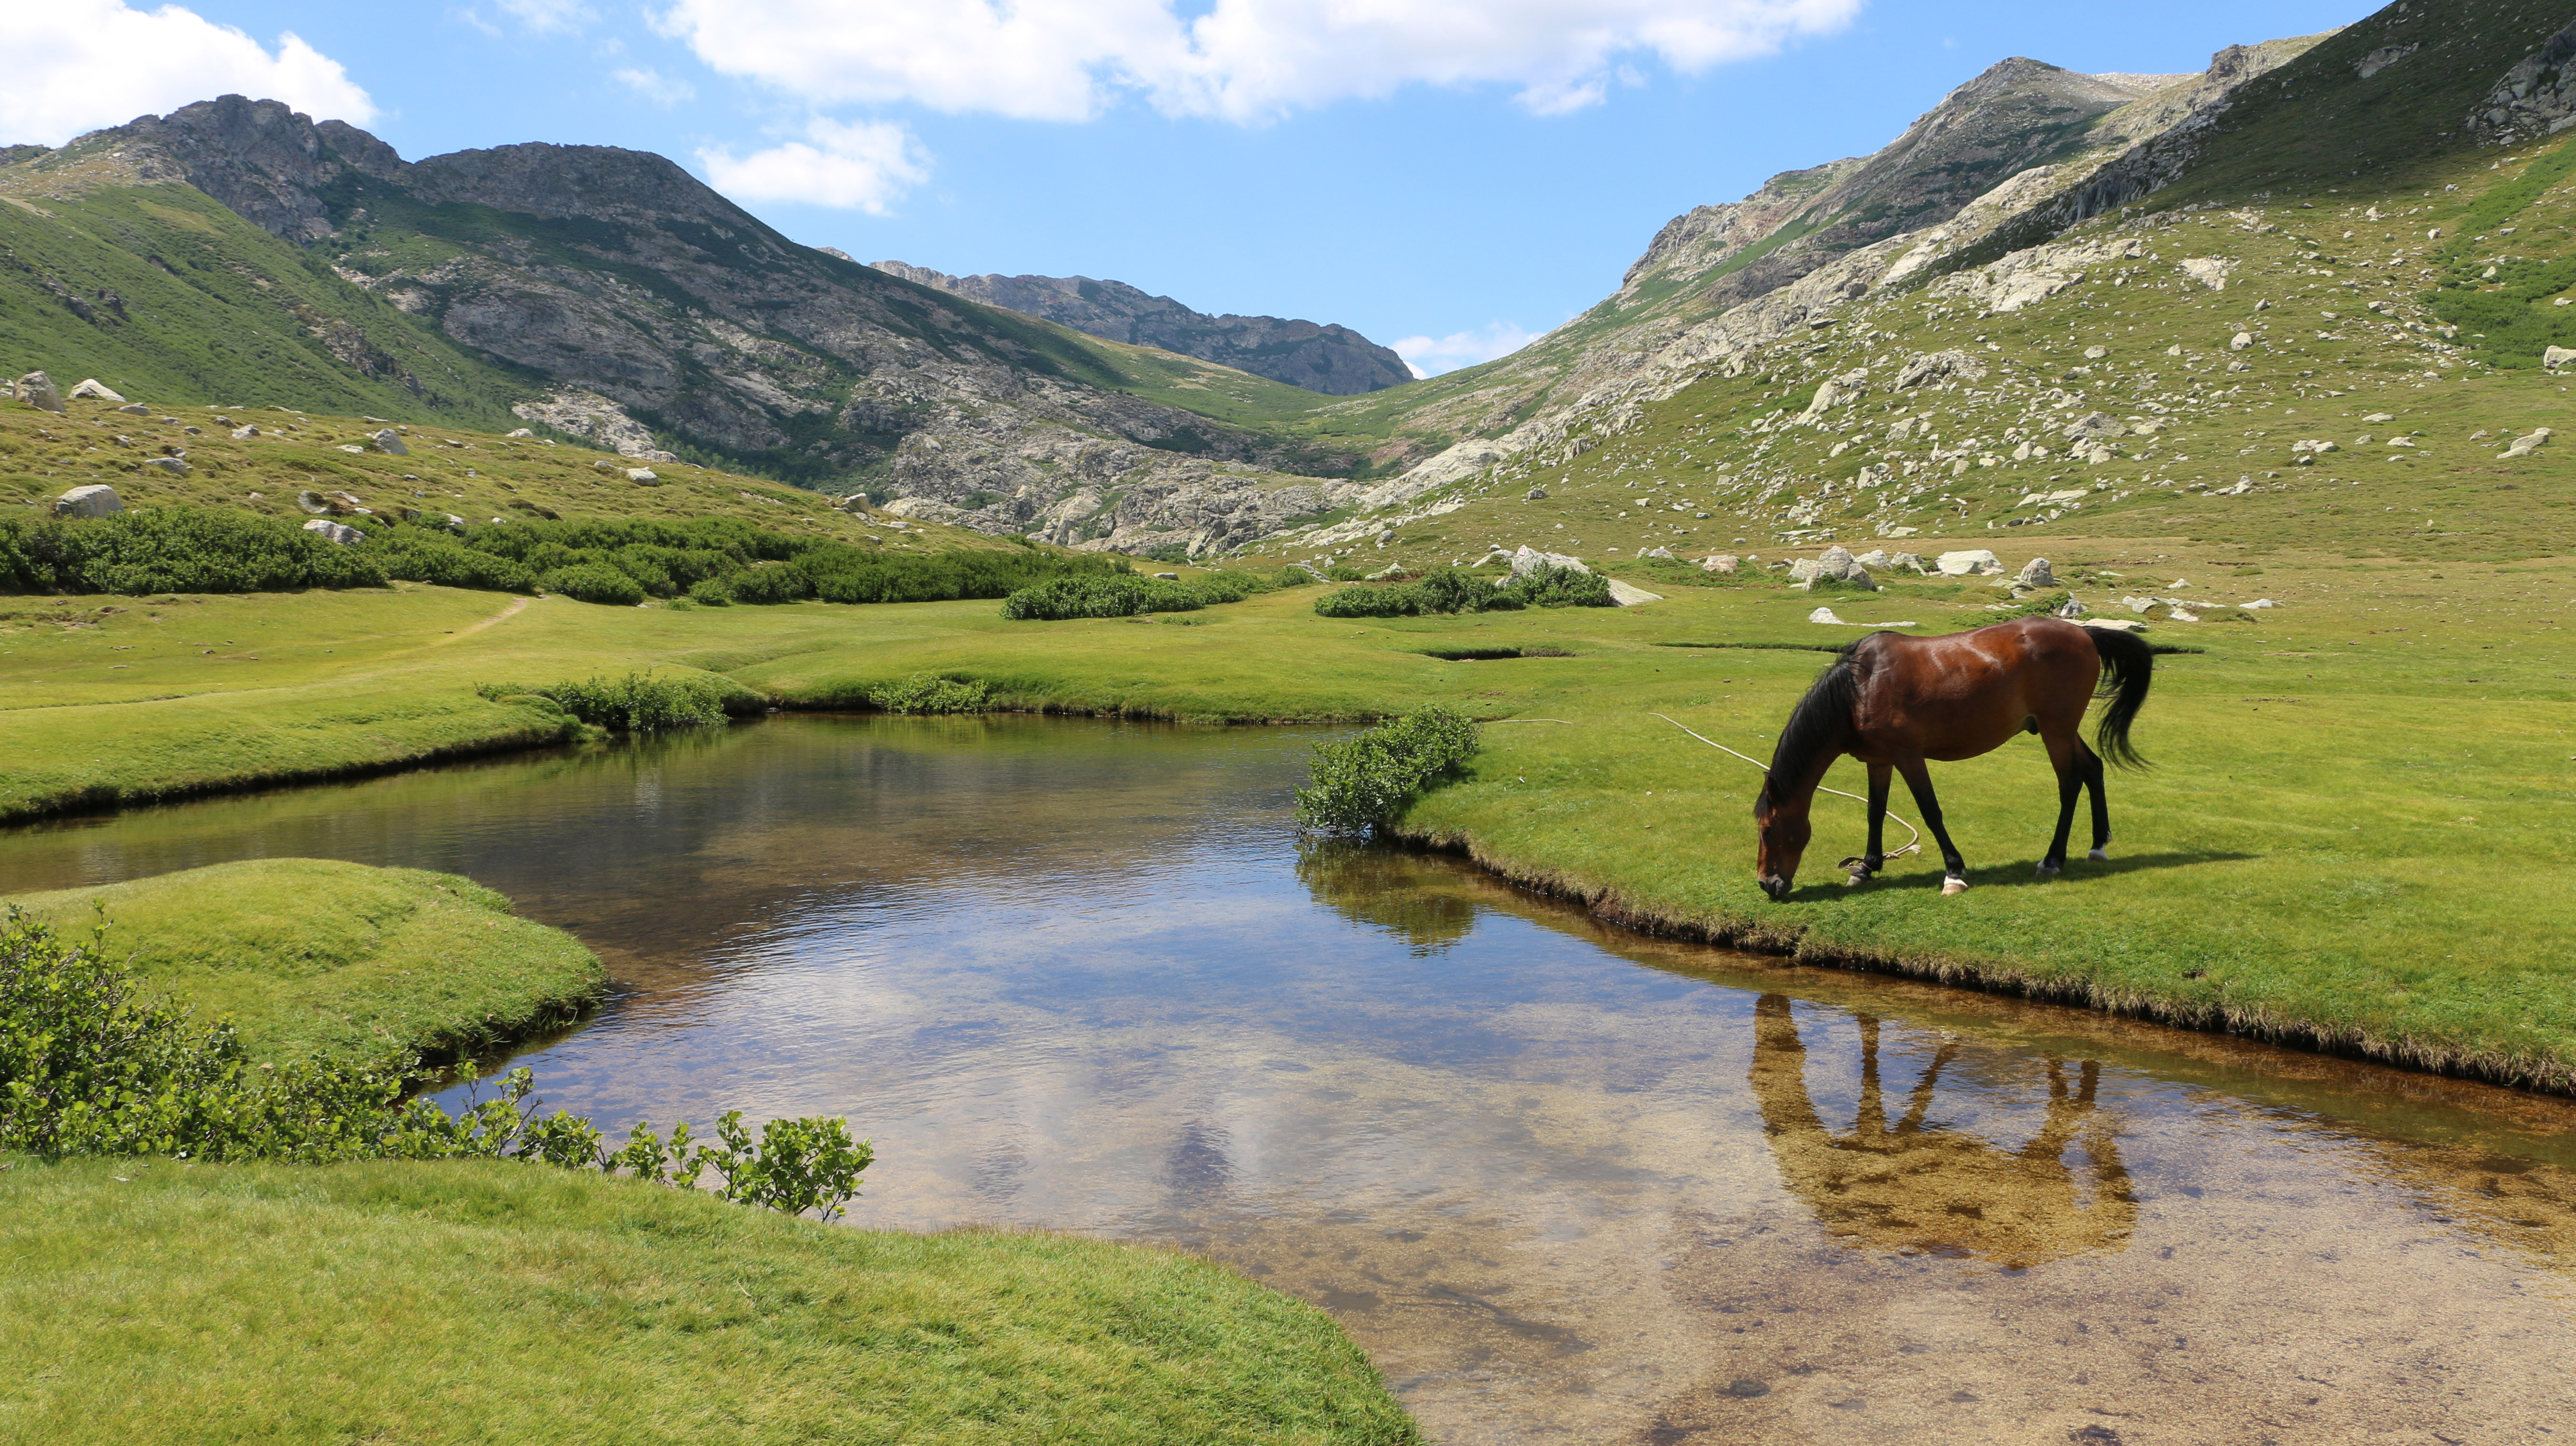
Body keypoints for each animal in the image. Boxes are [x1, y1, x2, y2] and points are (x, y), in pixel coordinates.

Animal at [1753, 616, 2154, 899]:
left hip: (2056, 731)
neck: (1859, 688)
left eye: (1768, 830)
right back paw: (2098, 845)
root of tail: (2083, 634)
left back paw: (2053, 859)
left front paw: (1954, 872)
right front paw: (1865, 867)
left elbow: (1931, 811)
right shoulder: (1879, 760)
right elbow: (1875, 812)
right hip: (2060, 730)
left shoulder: (1908, 756)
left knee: (2070, 783)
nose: (1766, 884)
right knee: (2093, 769)